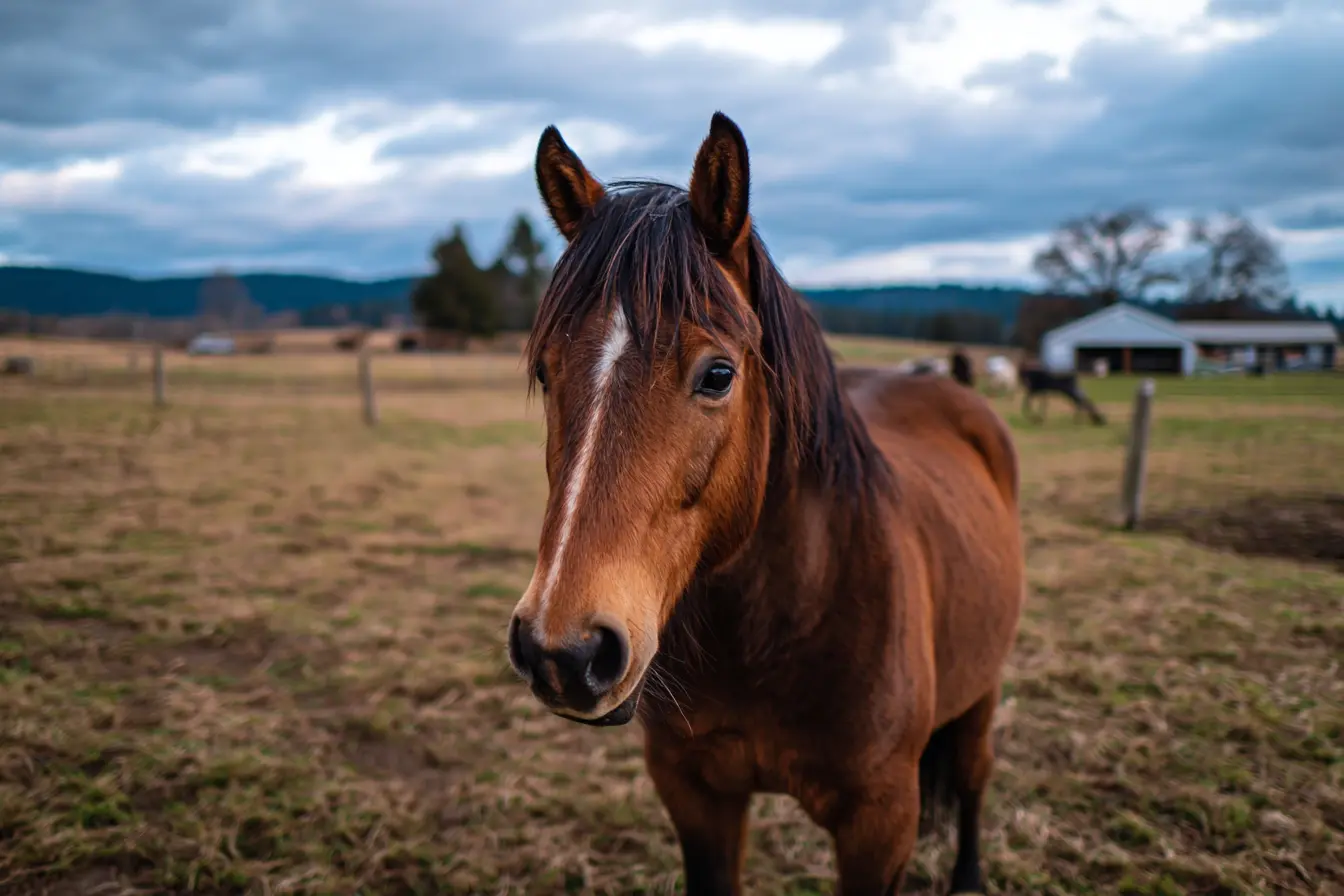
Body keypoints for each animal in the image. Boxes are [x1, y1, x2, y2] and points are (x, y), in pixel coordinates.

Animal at [507, 112, 1027, 896]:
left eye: (718, 374)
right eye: (546, 370)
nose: (561, 652)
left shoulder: (880, 824)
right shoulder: (695, 795)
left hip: (982, 690)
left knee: (973, 776)